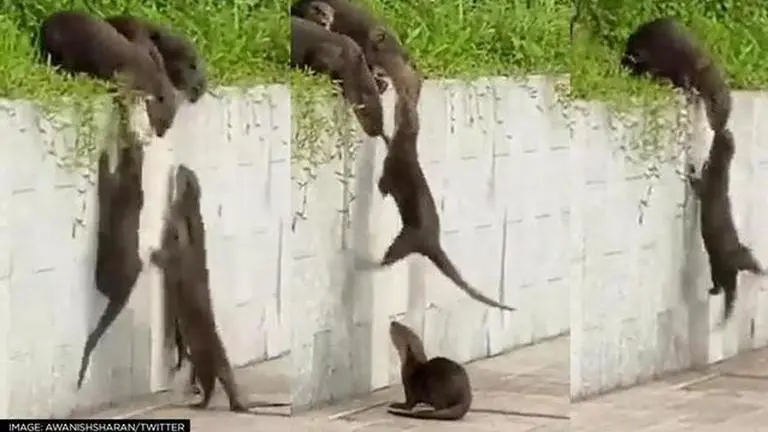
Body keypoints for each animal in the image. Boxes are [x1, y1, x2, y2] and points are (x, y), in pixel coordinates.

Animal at [687, 128, 765, 322]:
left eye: (726, 138)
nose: (726, 130)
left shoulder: (706, 188)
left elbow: (696, 185)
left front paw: (690, 169)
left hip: (719, 264)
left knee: (723, 285)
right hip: (728, 261)